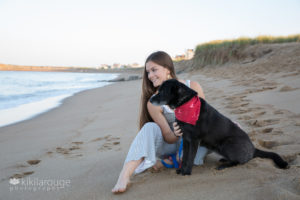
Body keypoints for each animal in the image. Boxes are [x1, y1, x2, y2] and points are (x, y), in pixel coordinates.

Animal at [150, 79, 288, 175]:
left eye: (162, 91)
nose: (150, 100)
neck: (186, 104)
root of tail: (253, 149)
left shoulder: (194, 140)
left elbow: (190, 158)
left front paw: (187, 172)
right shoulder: (186, 139)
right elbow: (184, 158)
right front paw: (181, 170)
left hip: (227, 143)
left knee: (238, 162)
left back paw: (224, 165)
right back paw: (223, 160)